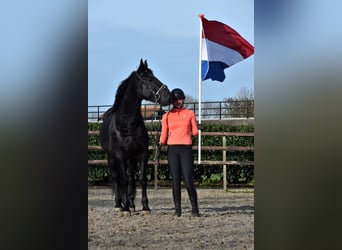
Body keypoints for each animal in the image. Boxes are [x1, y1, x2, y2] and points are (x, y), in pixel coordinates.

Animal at [99, 60, 170, 215]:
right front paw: (125, 209)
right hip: (111, 157)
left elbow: (142, 179)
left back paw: (131, 204)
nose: (169, 96)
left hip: (131, 157)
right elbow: (123, 180)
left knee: (131, 176)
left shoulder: (142, 153)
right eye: (149, 79)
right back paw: (119, 205)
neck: (127, 123)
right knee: (117, 177)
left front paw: (145, 207)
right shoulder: (120, 155)